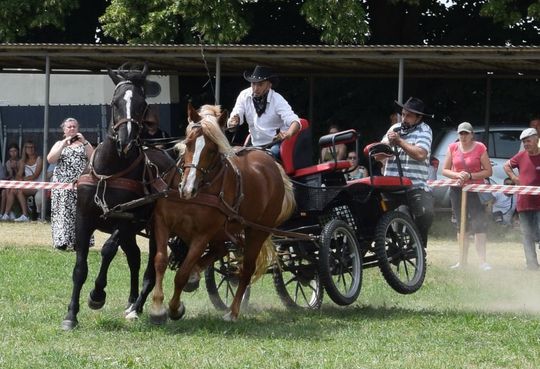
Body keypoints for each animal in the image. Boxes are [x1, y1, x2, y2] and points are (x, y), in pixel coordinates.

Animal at [61, 64, 176, 330]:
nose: (126, 140)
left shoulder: (125, 219)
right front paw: (71, 315)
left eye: (143, 104)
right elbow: (80, 267)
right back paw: (133, 301)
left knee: (150, 265)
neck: (110, 170)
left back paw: (137, 306)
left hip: (153, 227)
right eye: (115, 103)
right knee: (134, 257)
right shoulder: (83, 218)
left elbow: (108, 250)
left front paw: (97, 294)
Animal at [149, 103, 296, 322]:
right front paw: (157, 308)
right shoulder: (162, 222)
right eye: (189, 143)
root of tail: (273, 165)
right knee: (222, 251)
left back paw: (232, 312)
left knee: (245, 269)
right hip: (225, 230)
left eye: (212, 150)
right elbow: (160, 261)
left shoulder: (202, 235)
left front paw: (175, 308)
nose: (188, 189)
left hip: (256, 231)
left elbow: (181, 273)